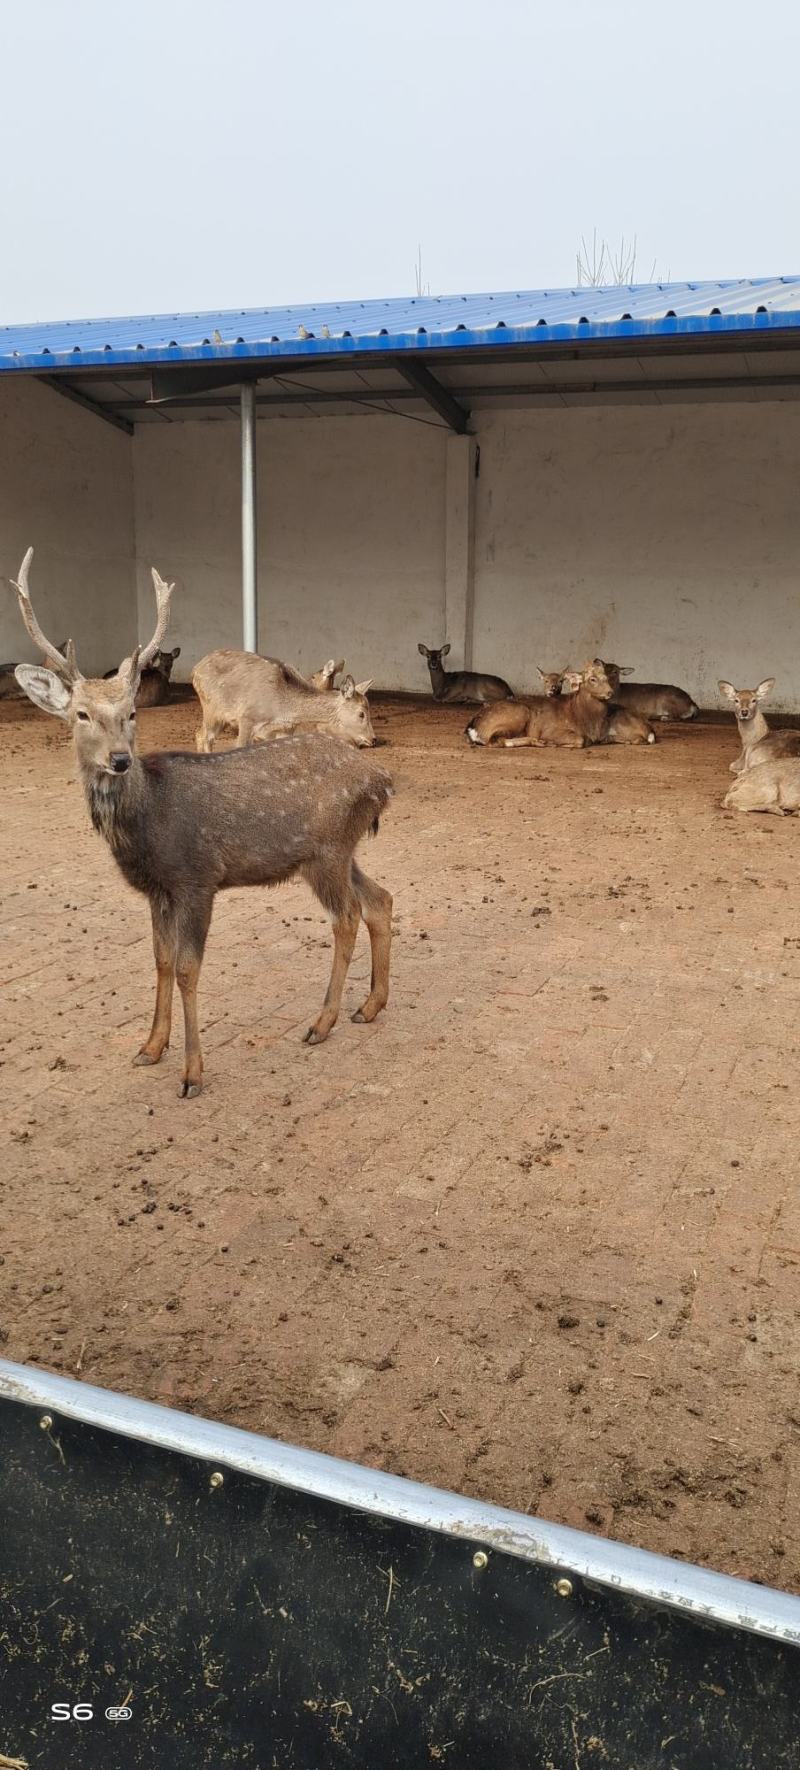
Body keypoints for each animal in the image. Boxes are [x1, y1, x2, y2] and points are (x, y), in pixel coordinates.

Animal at [192, 650, 375, 751]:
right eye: (361, 714)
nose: (373, 738)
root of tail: (195, 669)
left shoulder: (284, 729)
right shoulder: (247, 718)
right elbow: (240, 746)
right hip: (211, 707)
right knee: (204, 736)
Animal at [465, 658, 617, 748]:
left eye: (606, 677)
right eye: (592, 679)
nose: (610, 692)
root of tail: (472, 728)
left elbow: (610, 737)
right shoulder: (551, 730)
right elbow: (580, 740)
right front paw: (553, 742)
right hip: (518, 713)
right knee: (497, 740)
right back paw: (539, 741)